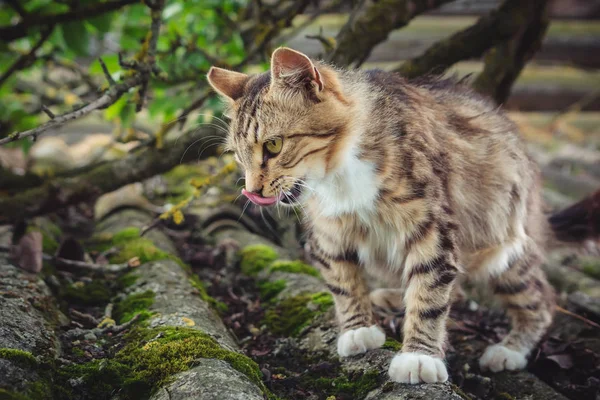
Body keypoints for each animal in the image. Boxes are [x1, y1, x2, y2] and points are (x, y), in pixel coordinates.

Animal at [204, 47, 580, 384]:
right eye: (238, 156)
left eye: (273, 146)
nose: (252, 190)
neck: (340, 178)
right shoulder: (328, 232)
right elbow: (344, 282)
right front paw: (358, 330)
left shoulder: (432, 227)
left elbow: (429, 294)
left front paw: (418, 357)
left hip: (502, 250)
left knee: (541, 299)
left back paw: (510, 350)